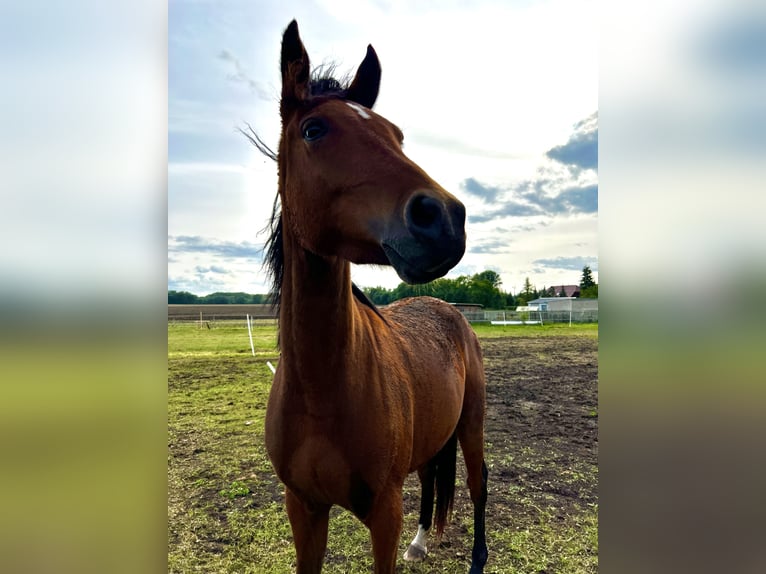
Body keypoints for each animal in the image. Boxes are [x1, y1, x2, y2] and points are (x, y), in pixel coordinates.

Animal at [264, 20, 488, 572]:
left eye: (397, 135)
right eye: (314, 130)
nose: (444, 218)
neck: (322, 390)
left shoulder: (383, 514)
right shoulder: (304, 509)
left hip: (471, 425)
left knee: (479, 485)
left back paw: (477, 559)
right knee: (431, 478)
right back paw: (421, 541)